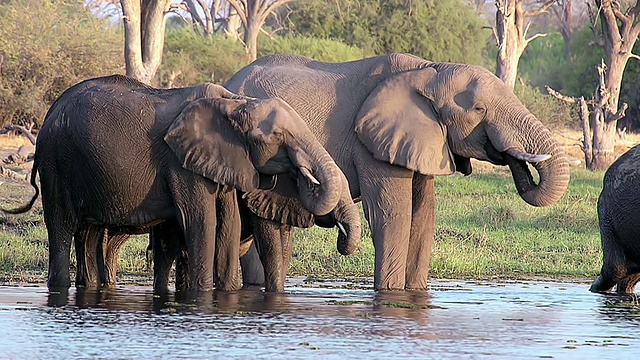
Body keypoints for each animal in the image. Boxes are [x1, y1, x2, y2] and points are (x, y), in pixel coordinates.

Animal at [2, 74, 358, 292]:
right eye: (275, 137)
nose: (342, 242)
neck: (235, 102)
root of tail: (47, 117)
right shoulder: (181, 163)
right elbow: (203, 222)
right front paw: (202, 296)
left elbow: (227, 226)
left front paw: (227, 293)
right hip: (57, 163)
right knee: (61, 227)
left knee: (91, 234)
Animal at [225, 52, 568, 290]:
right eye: (479, 110)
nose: (512, 156)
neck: (430, 70)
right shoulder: (372, 144)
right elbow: (392, 214)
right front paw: (391, 294)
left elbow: (424, 214)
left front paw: (414, 293)